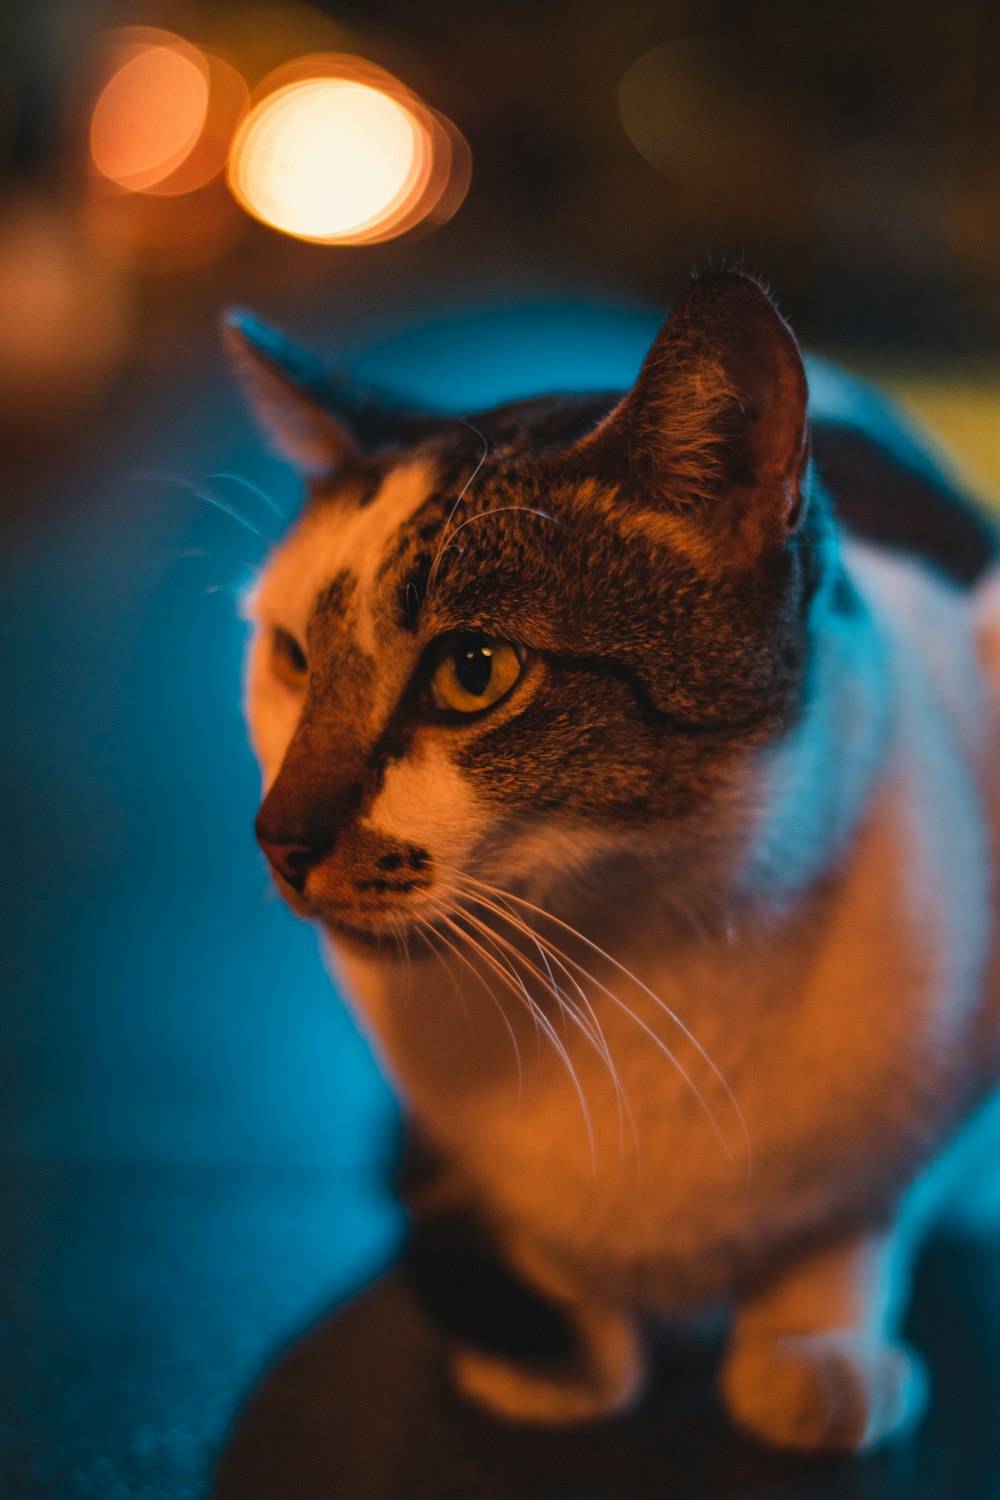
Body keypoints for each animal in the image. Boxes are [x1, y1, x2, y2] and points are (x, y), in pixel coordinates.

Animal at [223, 270, 1000, 1452]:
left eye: (474, 670)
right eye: (292, 660)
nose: (280, 837)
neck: (629, 971)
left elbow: (853, 1222)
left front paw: (811, 1350)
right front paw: (562, 1354)